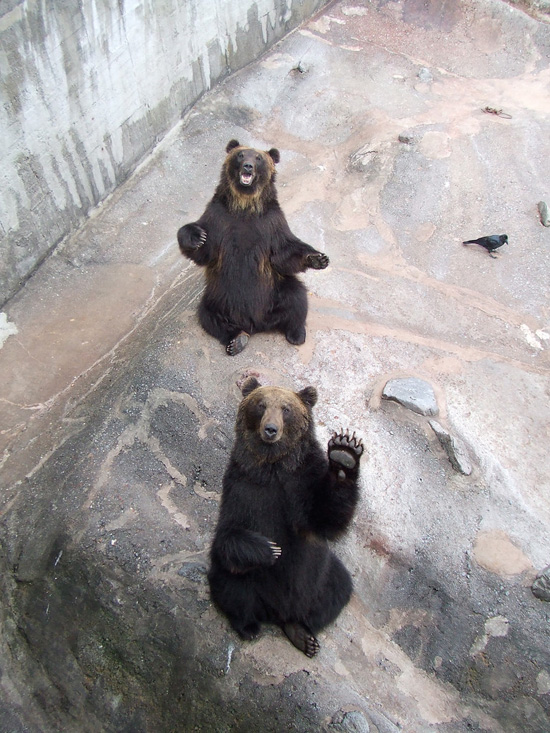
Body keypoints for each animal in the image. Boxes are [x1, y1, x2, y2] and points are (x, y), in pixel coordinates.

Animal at [179, 139, 330, 354]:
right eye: (241, 155)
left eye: (258, 158)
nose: (248, 166)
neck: (244, 207)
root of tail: (255, 324)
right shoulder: (218, 218)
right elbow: (205, 250)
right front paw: (196, 236)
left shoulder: (271, 223)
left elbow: (284, 253)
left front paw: (317, 258)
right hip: (218, 297)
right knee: (208, 315)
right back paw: (236, 340)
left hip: (273, 293)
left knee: (296, 296)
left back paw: (296, 333)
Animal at [209, 374, 364, 656]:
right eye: (261, 405)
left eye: (286, 409)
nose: (270, 429)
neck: (274, 465)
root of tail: (277, 612)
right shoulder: (242, 485)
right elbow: (228, 532)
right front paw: (270, 549)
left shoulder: (303, 480)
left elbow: (326, 518)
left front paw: (344, 455)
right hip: (252, 586)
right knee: (230, 582)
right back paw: (248, 627)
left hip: (319, 581)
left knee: (339, 588)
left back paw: (302, 633)